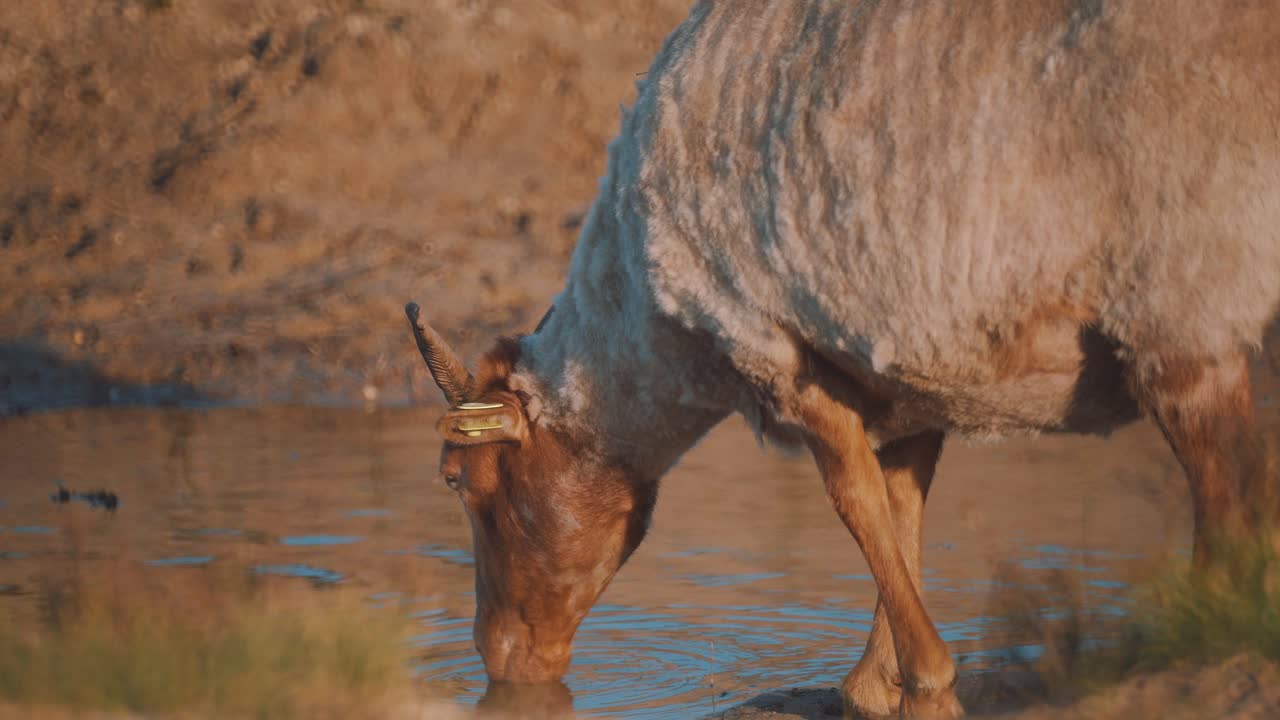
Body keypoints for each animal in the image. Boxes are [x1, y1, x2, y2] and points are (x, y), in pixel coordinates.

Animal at [406, 1, 1280, 717]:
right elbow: (902, 503)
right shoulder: (912, 367)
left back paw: (1196, 649)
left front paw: (923, 677)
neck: (650, 334)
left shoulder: (778, 351)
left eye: (455, 480)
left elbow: (856, 497)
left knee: (1229, 504)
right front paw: (874, 681)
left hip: (1183, 291)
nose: (496, 662)